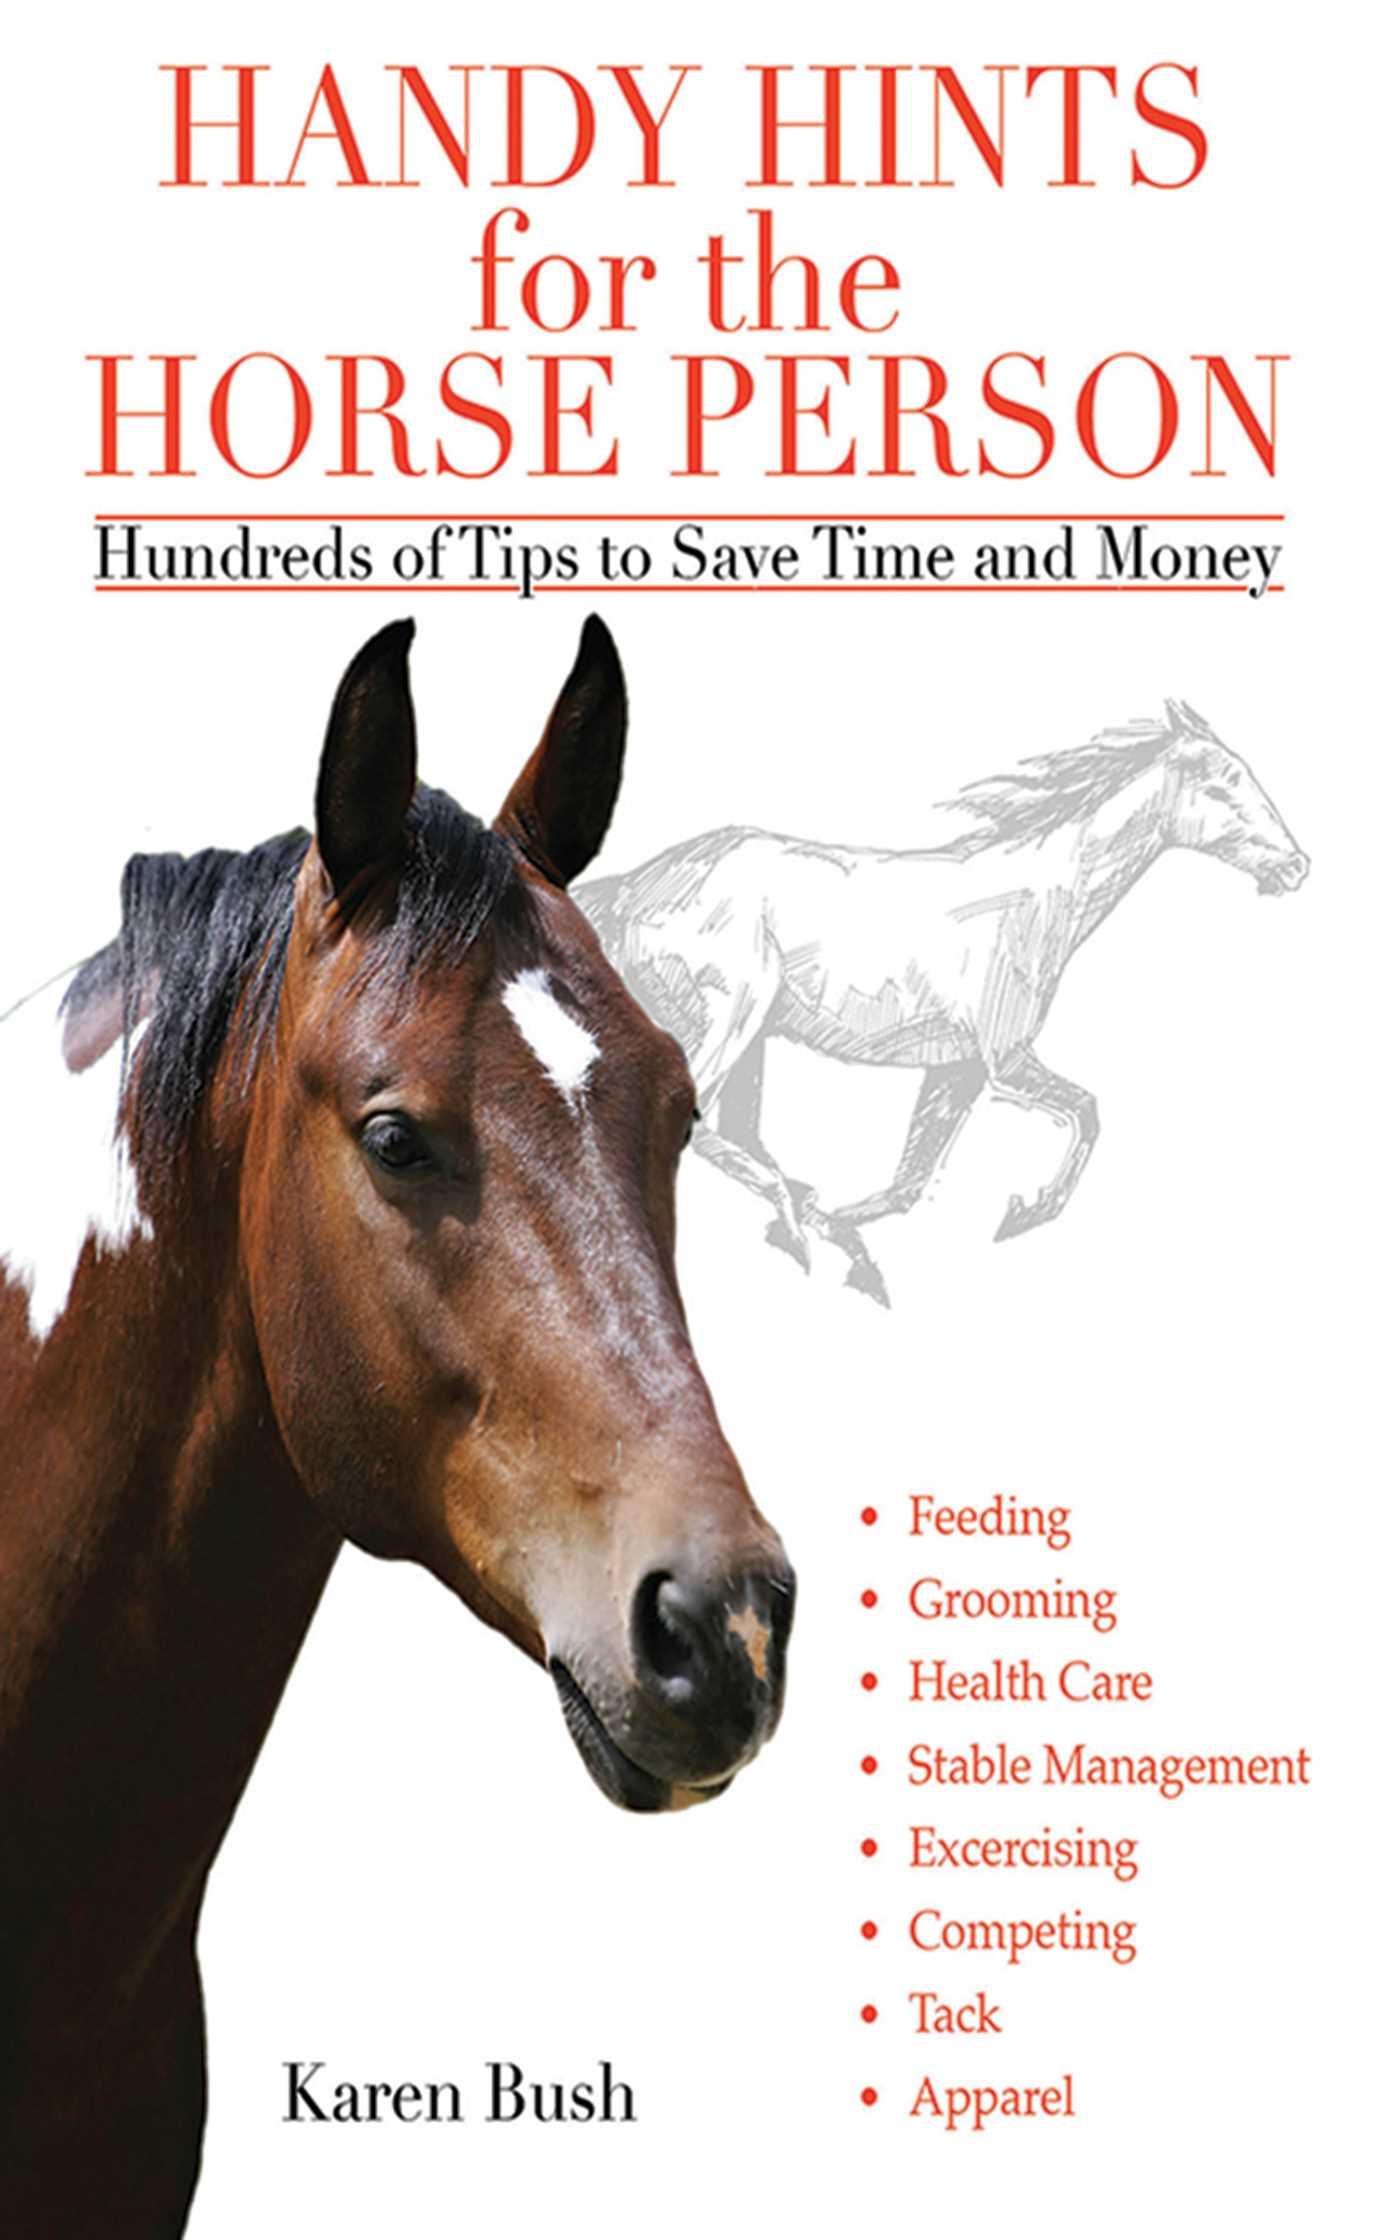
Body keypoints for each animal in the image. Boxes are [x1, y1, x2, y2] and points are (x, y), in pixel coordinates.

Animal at [578, 699, 1309, 1304]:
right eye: (1222, 783)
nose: (1296, 865)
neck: (1041, 899)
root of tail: (634, 888)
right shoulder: (1007, 1060)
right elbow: (1087, 1110)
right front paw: (1022, 1213)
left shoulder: (957, 1069)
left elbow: (909, 1180)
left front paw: (853, 1245)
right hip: (730, 1015)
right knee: (697, 1130)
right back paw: (789, 1226)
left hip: (754, 1039)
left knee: (737, 1134)